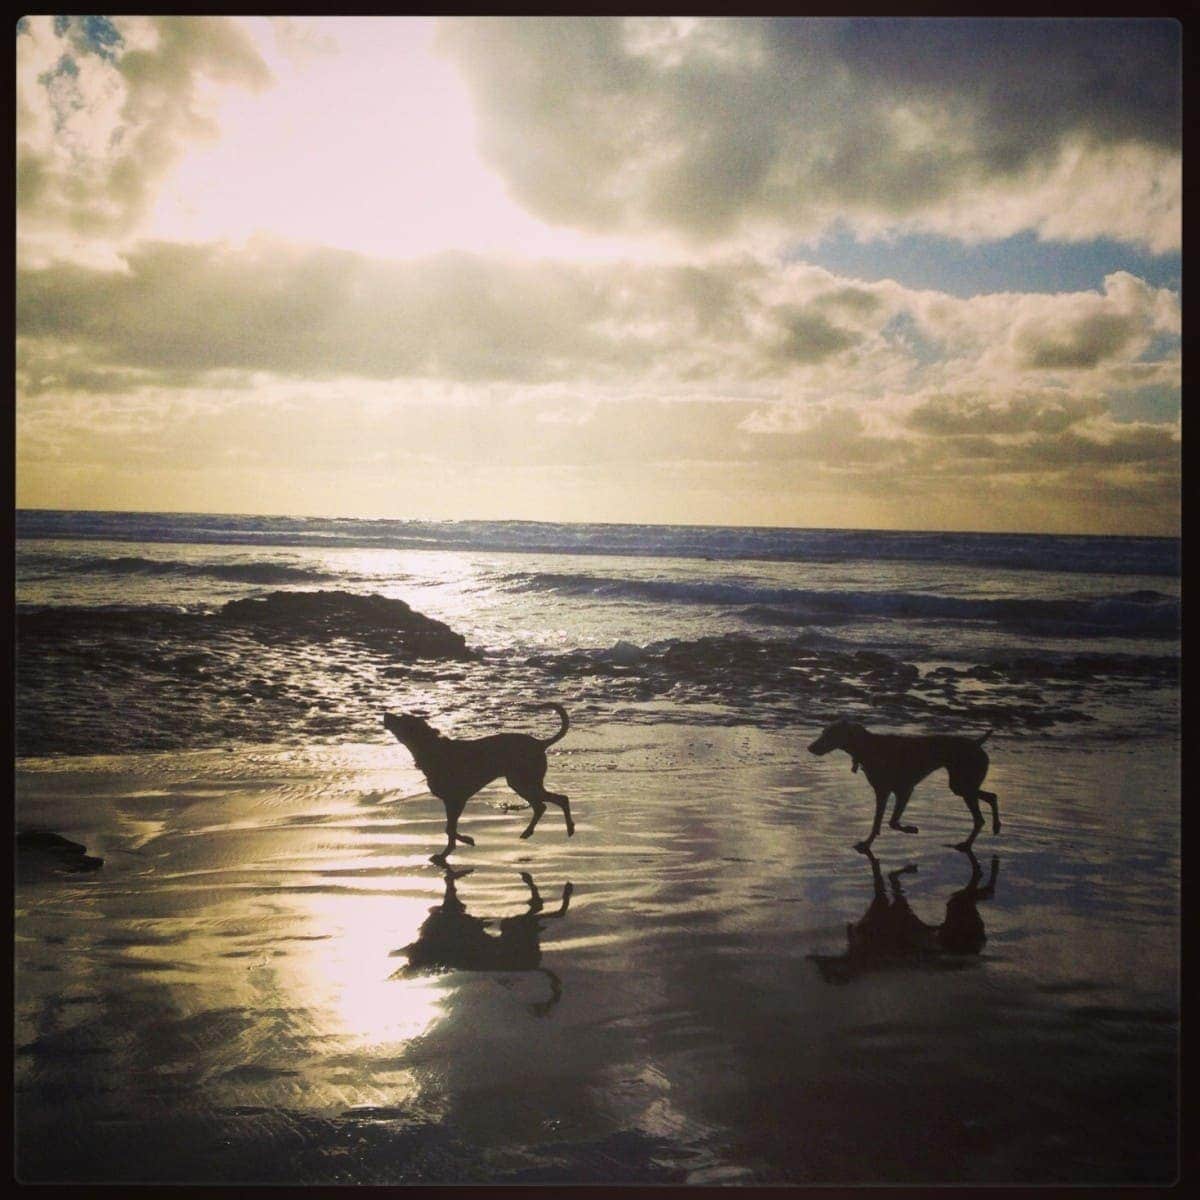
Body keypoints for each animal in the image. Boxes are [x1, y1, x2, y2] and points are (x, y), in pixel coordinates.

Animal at [381, 700, 573, 864]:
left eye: (401, 718)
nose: (385, 713)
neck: (432, 749)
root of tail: (541, 743)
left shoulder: (457, 800)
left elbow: (450, 829)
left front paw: (464, 842)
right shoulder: (450, 802)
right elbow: (450, 830)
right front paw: (450, 850)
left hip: (524, 781)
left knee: (556, 801)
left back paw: (567, 829)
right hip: (521, 782)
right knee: (544, 805)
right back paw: (532, 831)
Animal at [811, 715, 998, 849]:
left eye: (829, 734)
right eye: (823, 732)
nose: (810, 747)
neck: (869, 747)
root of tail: (977, 743)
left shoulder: (904, 790)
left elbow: (892, 821)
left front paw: (910, 829)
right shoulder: (882, 792)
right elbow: (877, 822)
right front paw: (867, 843)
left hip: (962, 785)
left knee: (983, 812)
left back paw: (980, 836)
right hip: (962, 786)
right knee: (989, 800)